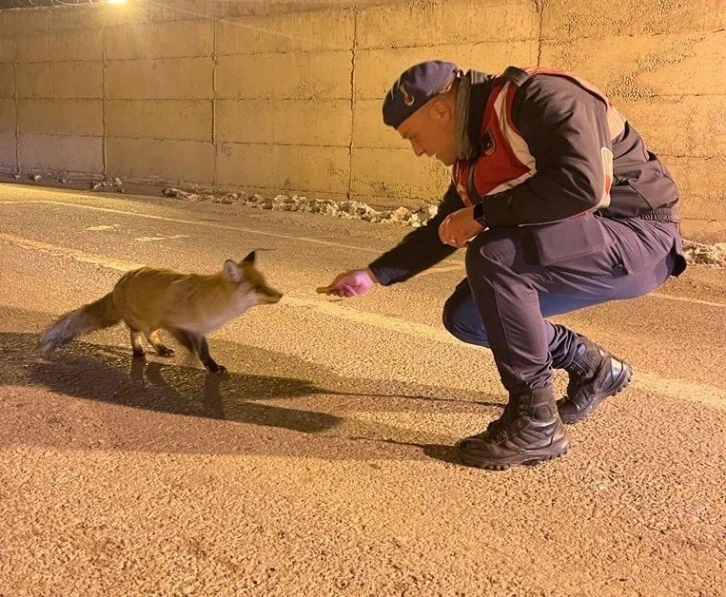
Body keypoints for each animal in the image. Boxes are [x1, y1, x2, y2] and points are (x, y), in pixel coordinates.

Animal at [37, 250, 282, 372]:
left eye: (265, 283)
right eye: (258, 287)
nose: (280, 294)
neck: (214, 304)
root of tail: (119, 284)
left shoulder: (199, 331)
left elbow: (205, 352)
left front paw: (211, 366)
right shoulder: (174, 324)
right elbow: (191, 347)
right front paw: (193, 359)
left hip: (151, 321)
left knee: (149, 334)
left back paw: (161, 350)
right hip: (143, 321)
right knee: (136, 334)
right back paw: (139, 352)